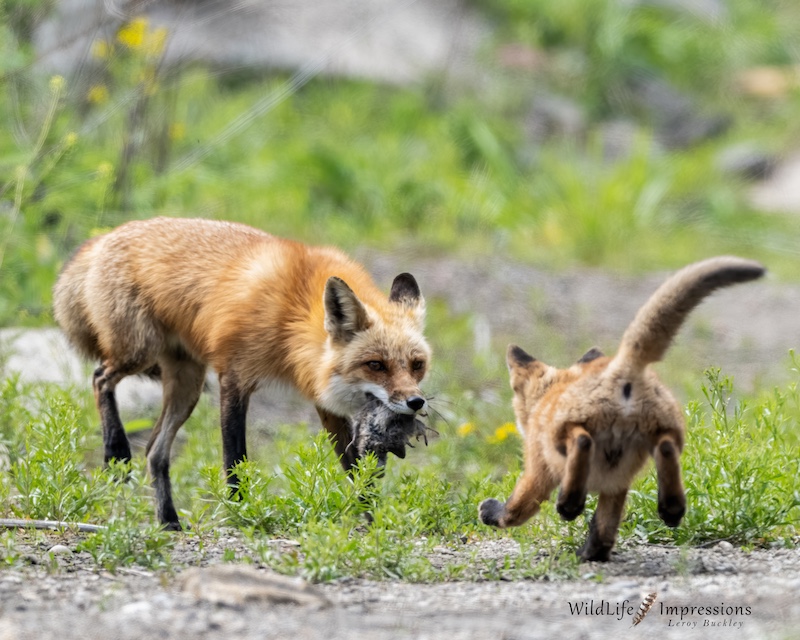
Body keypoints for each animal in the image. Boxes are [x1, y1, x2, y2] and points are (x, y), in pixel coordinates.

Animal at [53, 217, 431, 529]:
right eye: (376, 364)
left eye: (417, 365)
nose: (415, 402)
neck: (292, 313)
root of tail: (104, 237)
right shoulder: (234, 377)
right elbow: (235, 457)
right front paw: (241, 512)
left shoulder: (322, 397)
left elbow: (353, 469)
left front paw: (372, 518)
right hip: (138, 351)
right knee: (100, 377)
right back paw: (116, 449)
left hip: (187, 386)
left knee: (155, 452)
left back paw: (169, 521)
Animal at [478, 256, 765, 561]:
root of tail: (622, 365)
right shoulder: (617, 484)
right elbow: (604, 529)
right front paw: (592, 553)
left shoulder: (538, 467)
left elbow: (516, 508)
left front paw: (492, 512)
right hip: (661, 435)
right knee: (666, 448)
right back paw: (671, 508)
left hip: (563, 434)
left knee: (580, 440)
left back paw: (570, 503)